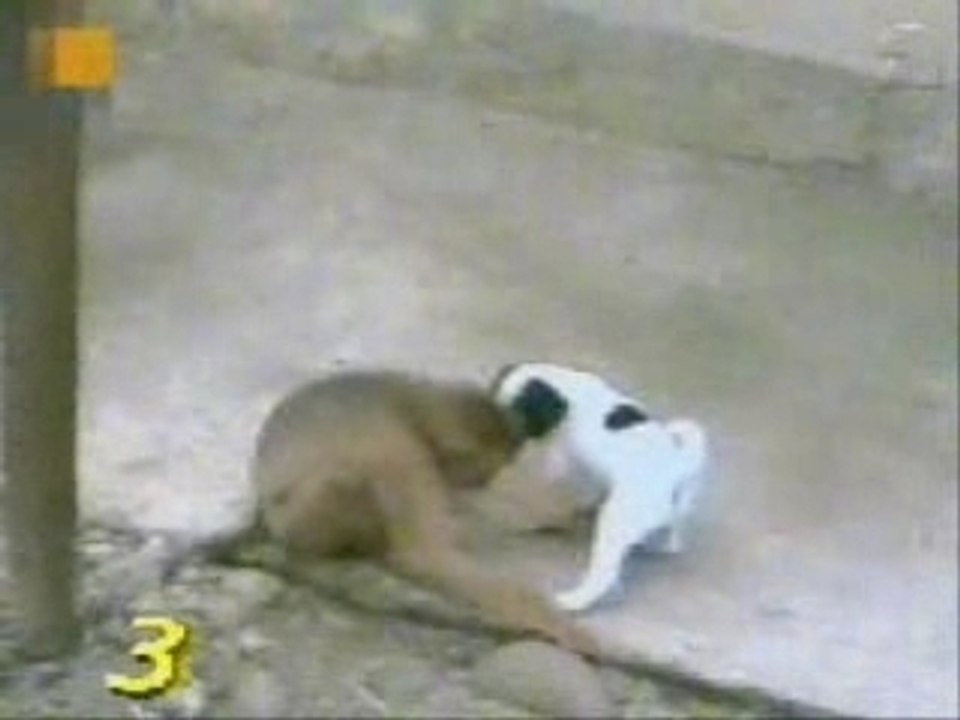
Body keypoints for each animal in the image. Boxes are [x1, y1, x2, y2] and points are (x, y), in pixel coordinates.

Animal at [244, 369, 600, 656]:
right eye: (484, 470)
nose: (481, 482)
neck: (415, 408)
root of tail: (265, 519)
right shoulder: (404, 457)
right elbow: (427, 556)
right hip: (300, 523)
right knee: (347, 482)